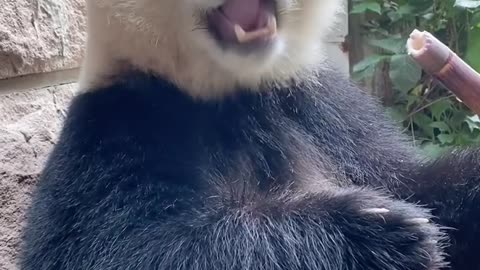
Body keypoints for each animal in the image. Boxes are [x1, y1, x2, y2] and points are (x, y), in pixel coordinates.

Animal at [17, 0, 480, 268]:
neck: (228, 84)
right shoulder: (116, 131)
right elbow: (118, 251)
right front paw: (377, 233)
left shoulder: (321, 108)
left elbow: (414, 182)